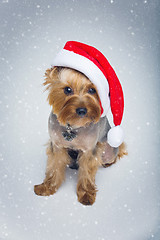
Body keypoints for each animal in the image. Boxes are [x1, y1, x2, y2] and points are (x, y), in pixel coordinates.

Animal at [34, 66, 127, 205]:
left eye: (92, 90)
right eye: (67, 90)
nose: (82, 110)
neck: (73, 126)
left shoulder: (89, 150)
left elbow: (87, 172)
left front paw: (86, 194)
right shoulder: (57, 146)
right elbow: (54, 167)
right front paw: (47, 187)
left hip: (109, 151)